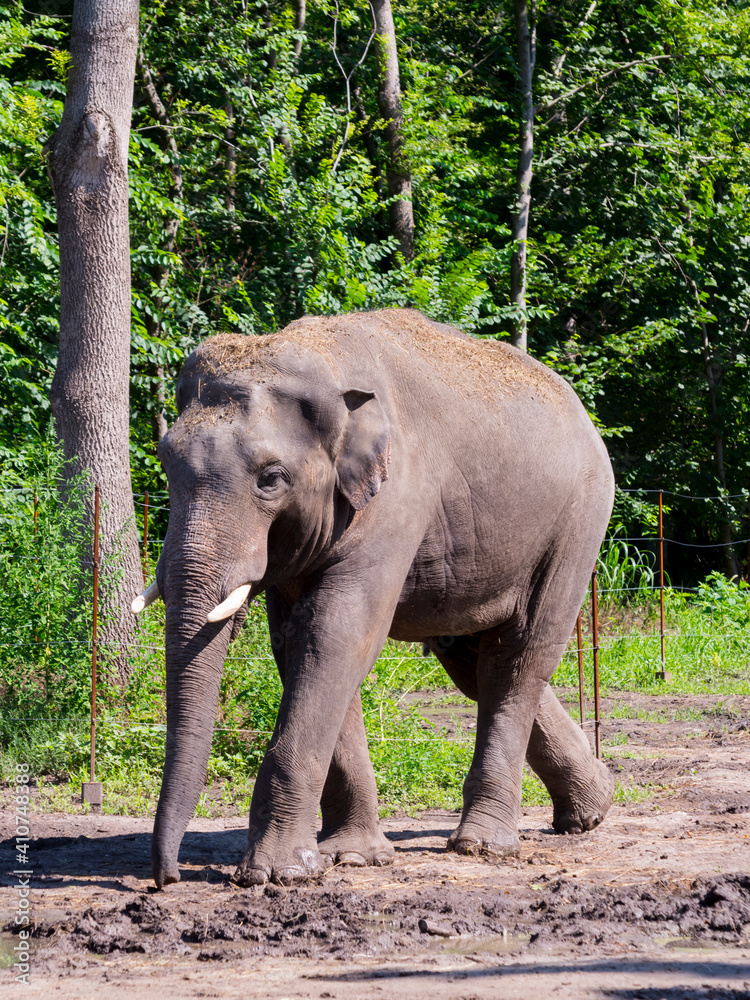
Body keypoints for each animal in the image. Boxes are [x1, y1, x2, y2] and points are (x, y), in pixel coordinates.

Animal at [132, 308, 615, 888]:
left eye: (271, 479)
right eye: (165, 464)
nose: (167, 878)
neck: (321, 359)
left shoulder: (396, 496)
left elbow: (335, 634)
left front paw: (276, 874)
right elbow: (301, 645)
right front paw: (352, 858)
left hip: (577, 524)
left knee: (520, 657)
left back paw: (484, 846)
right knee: (475, 662)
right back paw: (592, 810)